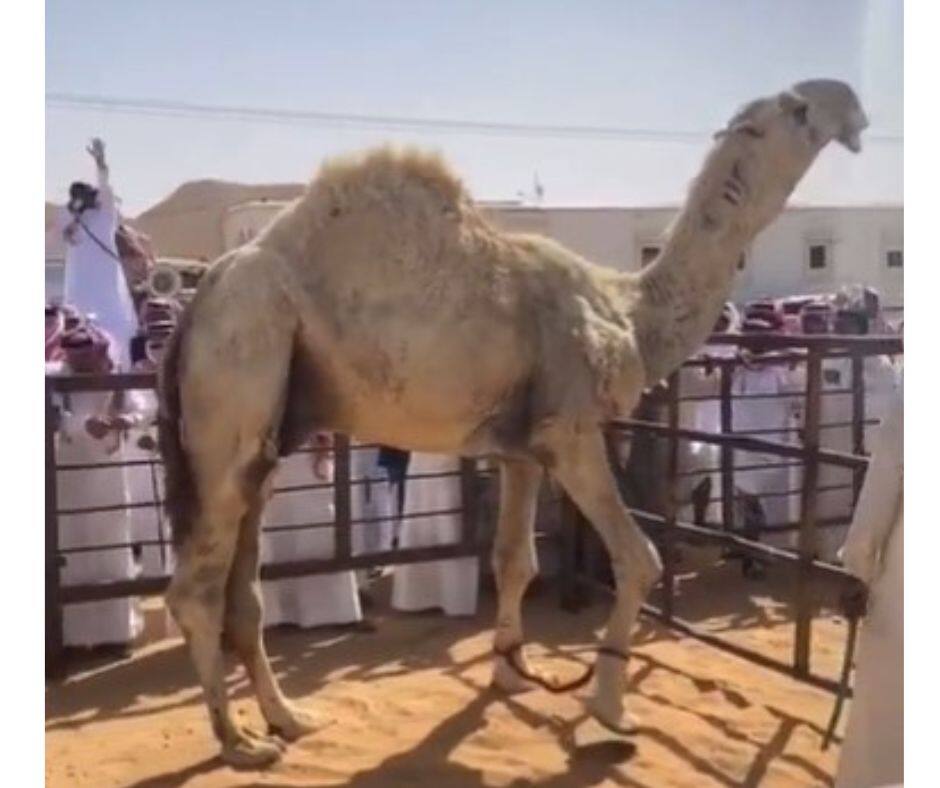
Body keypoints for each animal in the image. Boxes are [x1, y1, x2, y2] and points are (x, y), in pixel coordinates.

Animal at [157, 79, 868, 766]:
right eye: (797, 109)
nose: (853, 108)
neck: (628, 311)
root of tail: (200, 299)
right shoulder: (570, 431)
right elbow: (638, 560)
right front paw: (609, 710)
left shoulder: (520, 449)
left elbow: (514, 559)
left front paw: (510, 673)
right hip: (240, 371)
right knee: (196, 589)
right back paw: (239, 742)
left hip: (269, 425)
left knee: (243, 589)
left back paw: (288, 718)